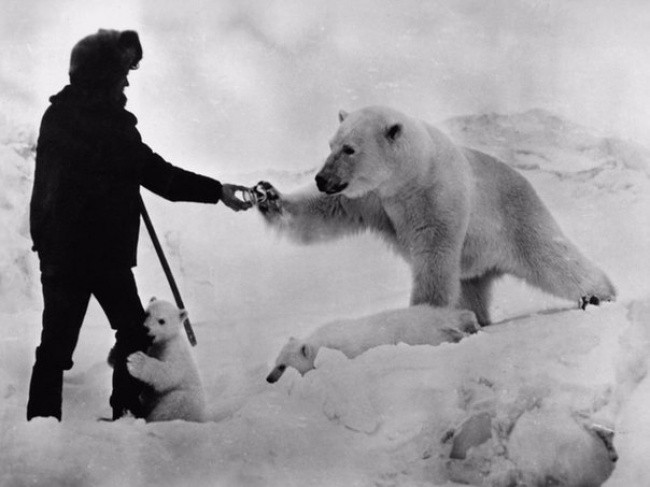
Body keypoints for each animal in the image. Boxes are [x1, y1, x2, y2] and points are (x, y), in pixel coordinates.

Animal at [256, 107, 616, 328]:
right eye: (331, 144)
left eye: (350, 149)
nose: (321, 178)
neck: (408, 176)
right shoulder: (372, 199)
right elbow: (325, 212)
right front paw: (267, 195)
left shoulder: (436, 196)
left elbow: (434, 255)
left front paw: (420, 318)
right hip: (476, 258)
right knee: (471, 285)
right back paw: (478, 319)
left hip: (516, 218)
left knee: (552, 258)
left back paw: (599, 295)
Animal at [266, 306, 478, 384]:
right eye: (275, 362)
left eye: (282, 367)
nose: (268, 379)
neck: (321, 344)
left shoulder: (349, 350)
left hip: (421, 332)